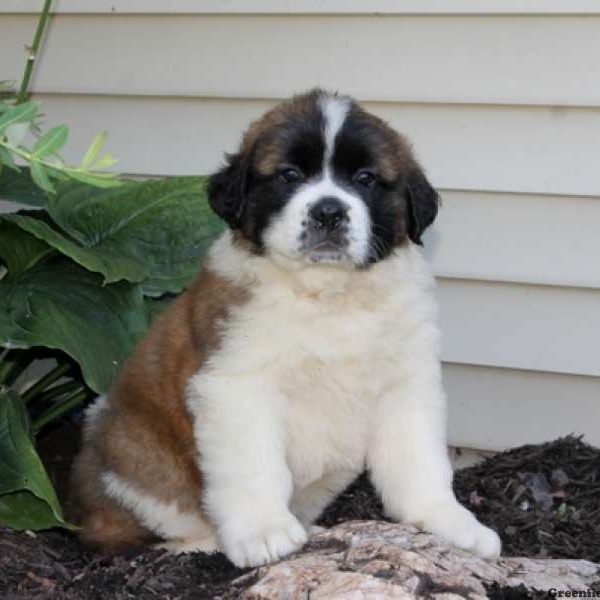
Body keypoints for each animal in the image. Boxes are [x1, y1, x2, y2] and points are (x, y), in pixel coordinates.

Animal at [71, 89, 502, 568]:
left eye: (366, 179)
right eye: (290, 175)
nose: (329, 212)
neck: (329, 294)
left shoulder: (406, 383)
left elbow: (420, 461)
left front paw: (451, 523)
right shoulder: (235, 385)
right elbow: (255, 465)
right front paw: (263, 532)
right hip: (131, 454)